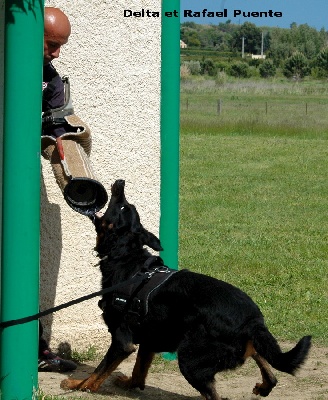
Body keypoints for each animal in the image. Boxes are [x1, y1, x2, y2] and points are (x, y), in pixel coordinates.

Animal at [62, 180, 312, 398]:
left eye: (123, 206)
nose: (121, 183)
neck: (126, 258)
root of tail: (253, 321)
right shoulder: (150, 338)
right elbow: (138, 372)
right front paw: (128, 383)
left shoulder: (122, 342)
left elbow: (98, 372)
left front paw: (78, 385)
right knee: (267, 366)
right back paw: (264, 385)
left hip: (190, 360)